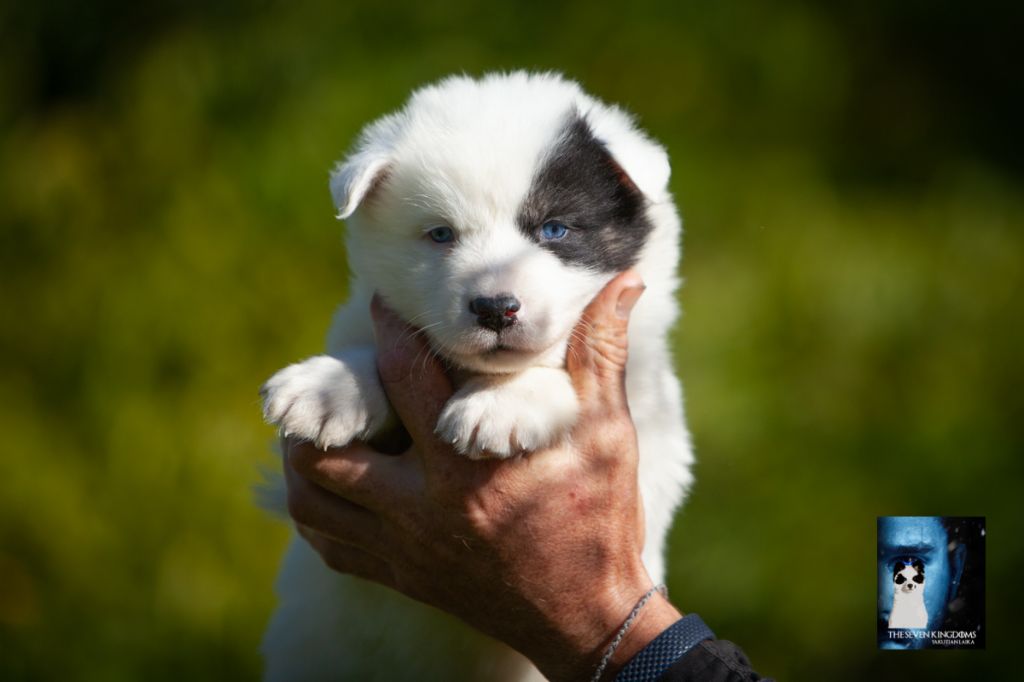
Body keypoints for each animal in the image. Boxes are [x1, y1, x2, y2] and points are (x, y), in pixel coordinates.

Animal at [262, 70, 696, 679]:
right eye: (441, 235)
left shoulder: (647, 414)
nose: (495, 308)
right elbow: (376, 350)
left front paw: (502, 403)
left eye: (554, 229)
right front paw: (329, 389)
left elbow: (556, 369)